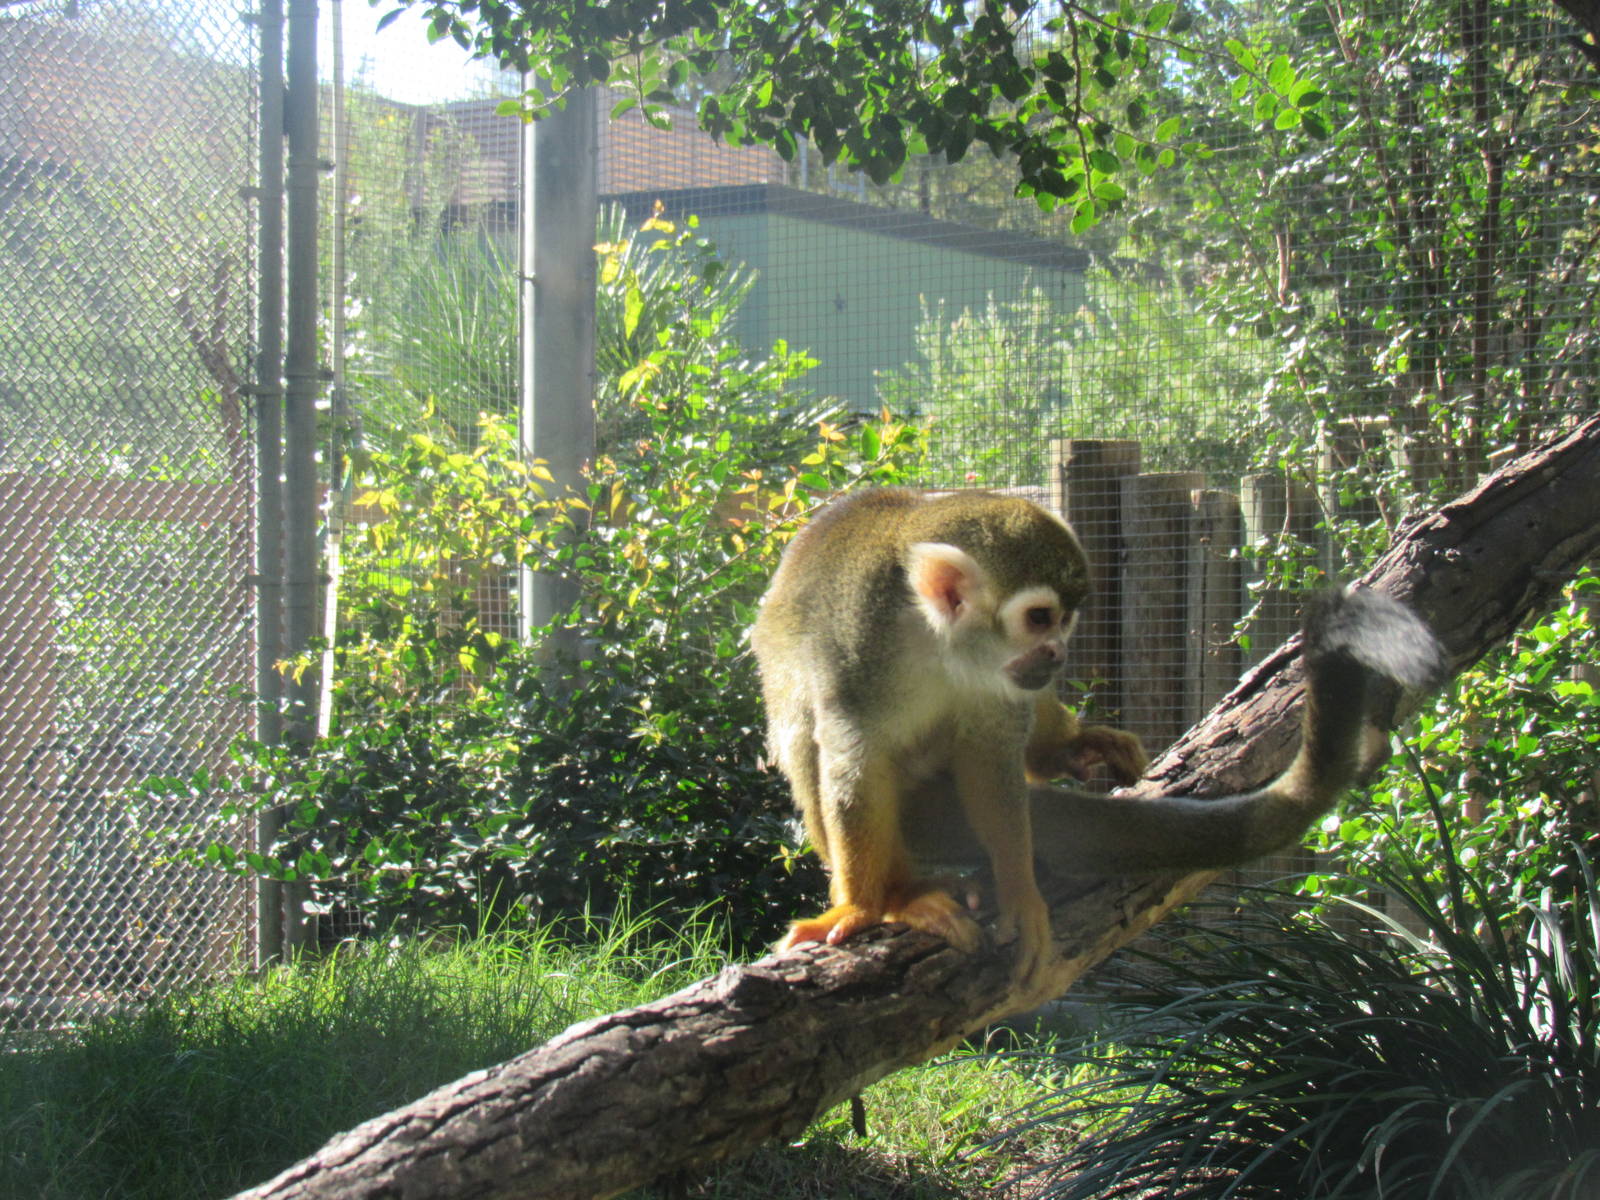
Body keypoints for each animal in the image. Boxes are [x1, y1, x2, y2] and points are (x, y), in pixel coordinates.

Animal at [753, 487, 1444, 984]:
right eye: (1039, 618)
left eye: (1067, 618)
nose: (1058, 652)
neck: (935, 641)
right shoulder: (857, 651)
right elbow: (853, 765)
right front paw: (872, 906)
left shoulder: (1001, 682)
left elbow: (992, 761)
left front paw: (1019, 892)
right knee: (807, 739)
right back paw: (904, 889)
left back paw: (1066, 747)